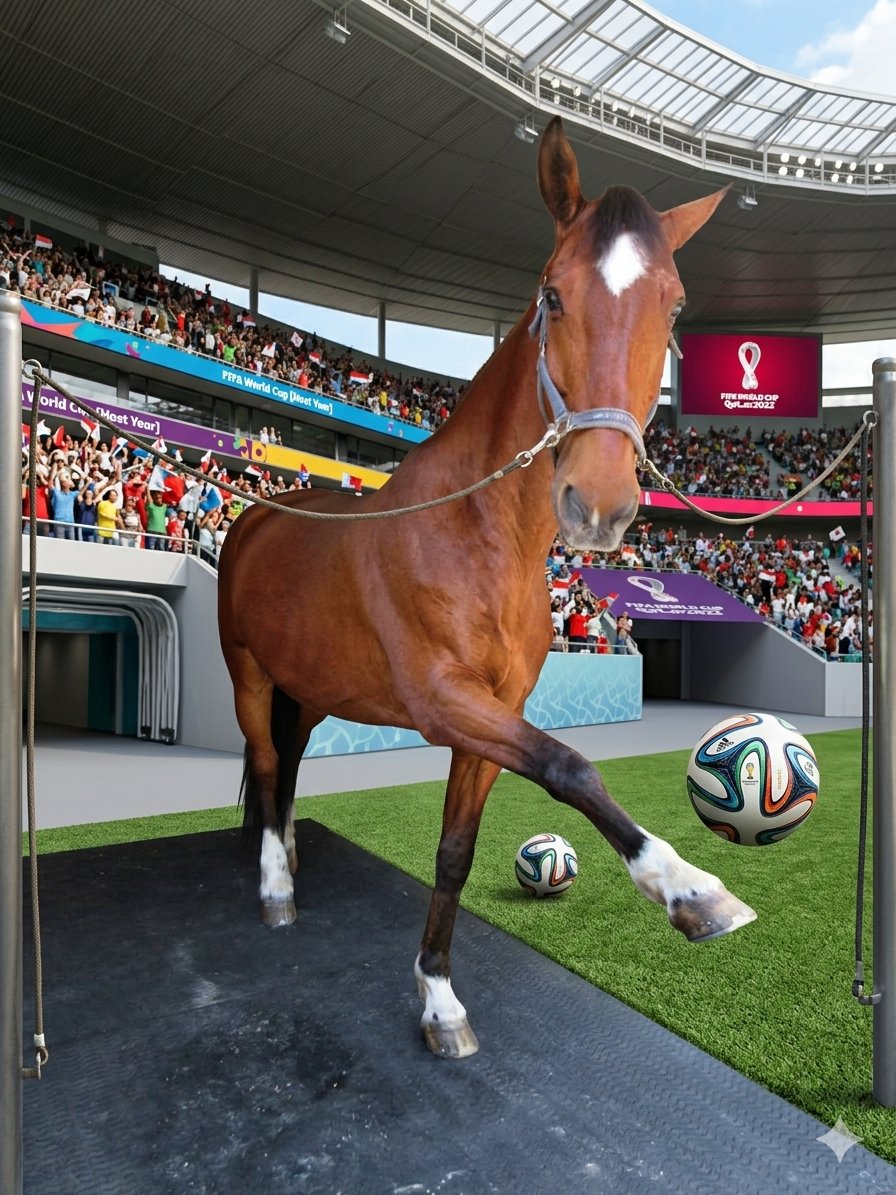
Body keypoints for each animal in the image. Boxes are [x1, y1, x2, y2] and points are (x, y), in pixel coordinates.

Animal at [217, 116, 755, 1060]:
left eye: (675, 305)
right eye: (552, 295)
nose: (599, 502)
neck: (476, 534)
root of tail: (260, 514)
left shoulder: (491, 715)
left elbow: (456, 851)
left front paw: (437, 994)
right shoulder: (445, 699)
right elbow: (571, 765)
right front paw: (689, 888)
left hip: (310, 688)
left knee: (287, 771)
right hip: (249, 673)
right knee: (269, 757)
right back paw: (276, 886)